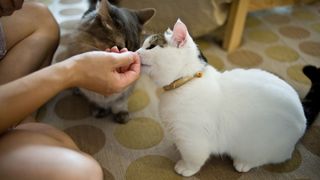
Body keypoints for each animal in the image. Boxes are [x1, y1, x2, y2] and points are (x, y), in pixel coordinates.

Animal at [136, 19, 306, 176]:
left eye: (150, 47)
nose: (136, 52)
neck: (185, 83)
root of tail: (302, 120)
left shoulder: (192, 139)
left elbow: (193, 159)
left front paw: (185, 168)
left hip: (259, 146)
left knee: (264, 158)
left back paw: (243, 163)